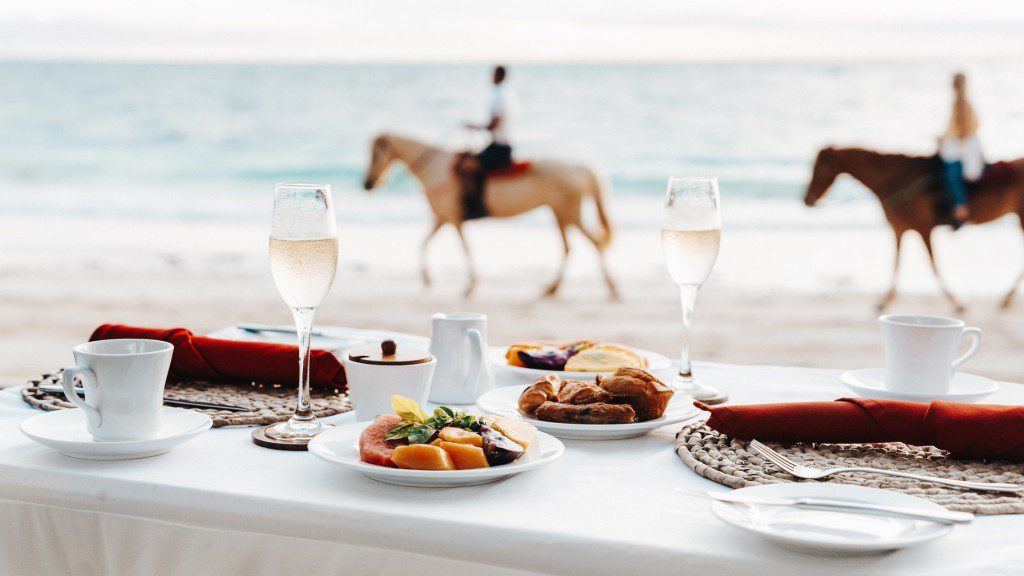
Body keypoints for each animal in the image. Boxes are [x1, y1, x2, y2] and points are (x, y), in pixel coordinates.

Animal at [360, 132, 614, 297]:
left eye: (375, 155)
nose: (367, 184)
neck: (437, 168)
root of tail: (582, 169)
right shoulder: (442, 218)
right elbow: (423, 243)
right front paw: (427, 278)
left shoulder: (453, 219)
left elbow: (464, 248)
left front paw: (470, 286)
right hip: (560, 213)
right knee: (570, 247)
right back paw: (552, 289)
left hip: (570, 214)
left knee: (594, 243)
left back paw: (611, 288)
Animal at [802, 145, 1024, 311]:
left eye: (818, 167)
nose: (806, 200)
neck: (896, 178)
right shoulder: (899, 229)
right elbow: (896, 264)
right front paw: (885, 301)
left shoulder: (923, 228)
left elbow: (933, 265)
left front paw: (956, 300)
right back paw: (1007, 297)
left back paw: (1006, 297)